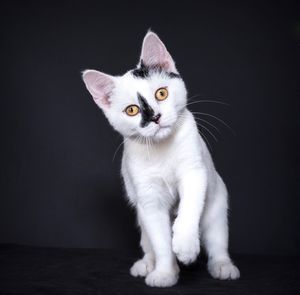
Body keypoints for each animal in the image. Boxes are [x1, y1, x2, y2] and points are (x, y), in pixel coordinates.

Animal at [81, 31, 239, 288]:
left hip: (216, 208)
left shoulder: (194, 173)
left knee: (217, 241)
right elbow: (162, 243)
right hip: (141, 218)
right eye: (132, 110)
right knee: (149, 244)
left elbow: (188, 208)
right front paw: (165, 273)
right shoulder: (148, 199)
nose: (155, 117)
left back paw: (222, 266)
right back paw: (147, 263)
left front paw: (185, 245)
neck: (161, 150)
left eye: (161, 93)